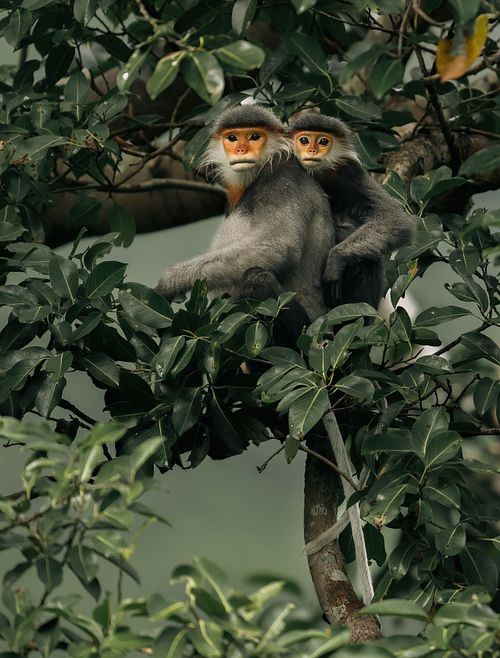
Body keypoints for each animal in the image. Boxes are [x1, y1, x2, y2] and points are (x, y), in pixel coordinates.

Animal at [156, 105, 335, 327]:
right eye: (232, 138)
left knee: (256, 277)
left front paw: (168, 282)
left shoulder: (283, 181)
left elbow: (276, 246)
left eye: (254, 136)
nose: (241, 150)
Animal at [290, 112, 415, 309]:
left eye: (323, 141)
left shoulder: (347, 172)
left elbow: (395, 220)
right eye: (304, 140)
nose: (312, 151)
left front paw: (335, 261)